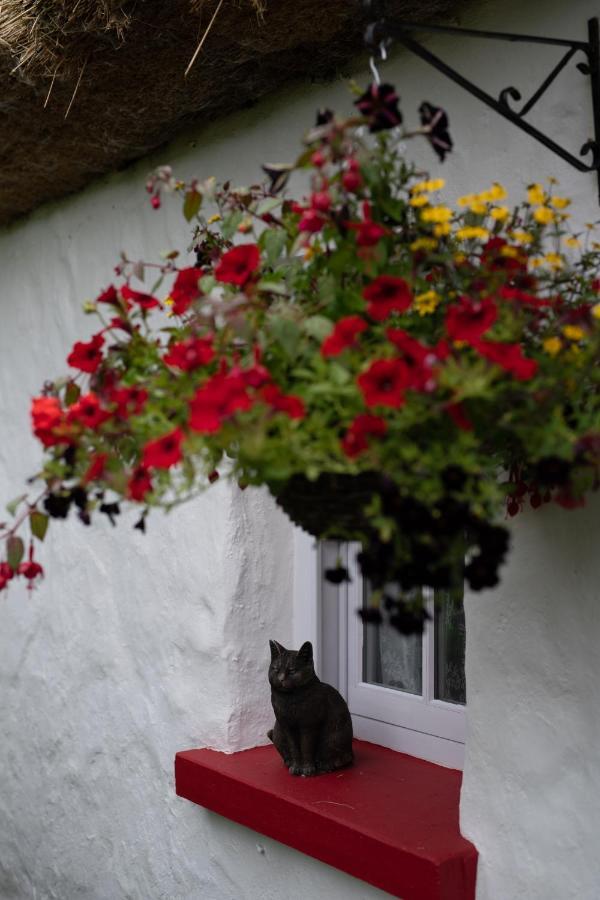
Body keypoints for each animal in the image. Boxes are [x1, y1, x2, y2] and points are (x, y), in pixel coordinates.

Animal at [266, 640, 352, 772]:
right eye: (276, 669)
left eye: (292, 671)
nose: (280, 679)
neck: (289, 699)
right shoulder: (286, 726)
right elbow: (294, 748)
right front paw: (296, 767)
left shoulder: (309, 725)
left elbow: (306, 747)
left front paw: (307, 769)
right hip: (277, 732)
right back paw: (289, 762)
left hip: (336, 737)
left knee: (339, 758)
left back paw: (324, 765)